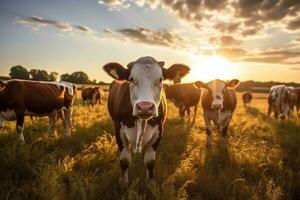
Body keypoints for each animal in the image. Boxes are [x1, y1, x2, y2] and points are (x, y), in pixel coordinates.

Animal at [102, 56, 189, 186]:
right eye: (131, 79)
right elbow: (124, 160)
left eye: (161, 79)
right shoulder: (118, 129)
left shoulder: (159, 131)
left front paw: (150, 183)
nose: (145, 107)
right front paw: (123, 183)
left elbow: (150, 161)